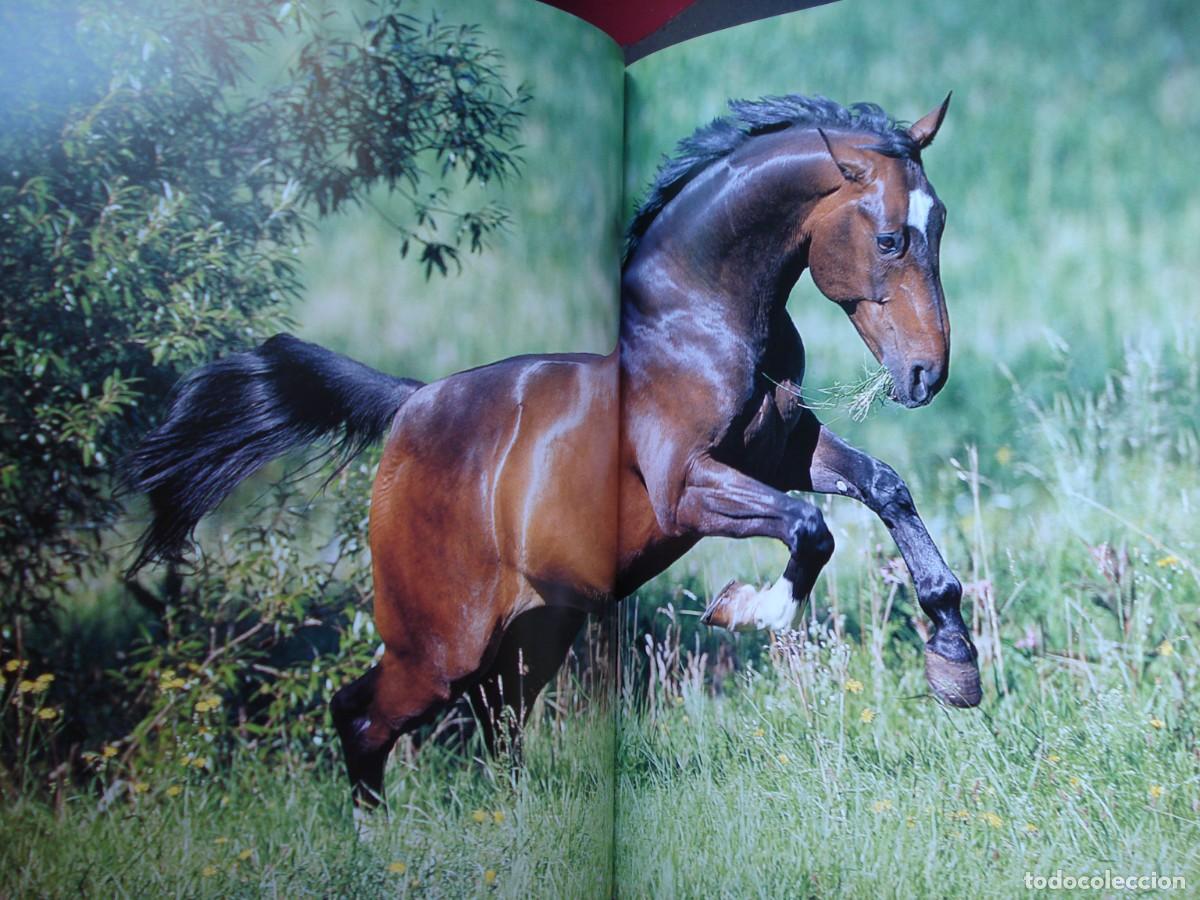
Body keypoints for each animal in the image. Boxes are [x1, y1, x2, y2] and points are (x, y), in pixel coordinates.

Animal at [125, 93, 980, 809]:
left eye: (942, 227)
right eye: (890, 238)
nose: (926, 375)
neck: (697, 320)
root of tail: (409, 405)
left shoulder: (781, 451)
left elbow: (884, 487)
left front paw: (954, 659)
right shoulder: (687, 489)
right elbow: (810, 529)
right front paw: (744, 610)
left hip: (528, 640)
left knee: (493, 731)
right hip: (438, 645)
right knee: (362, 717)